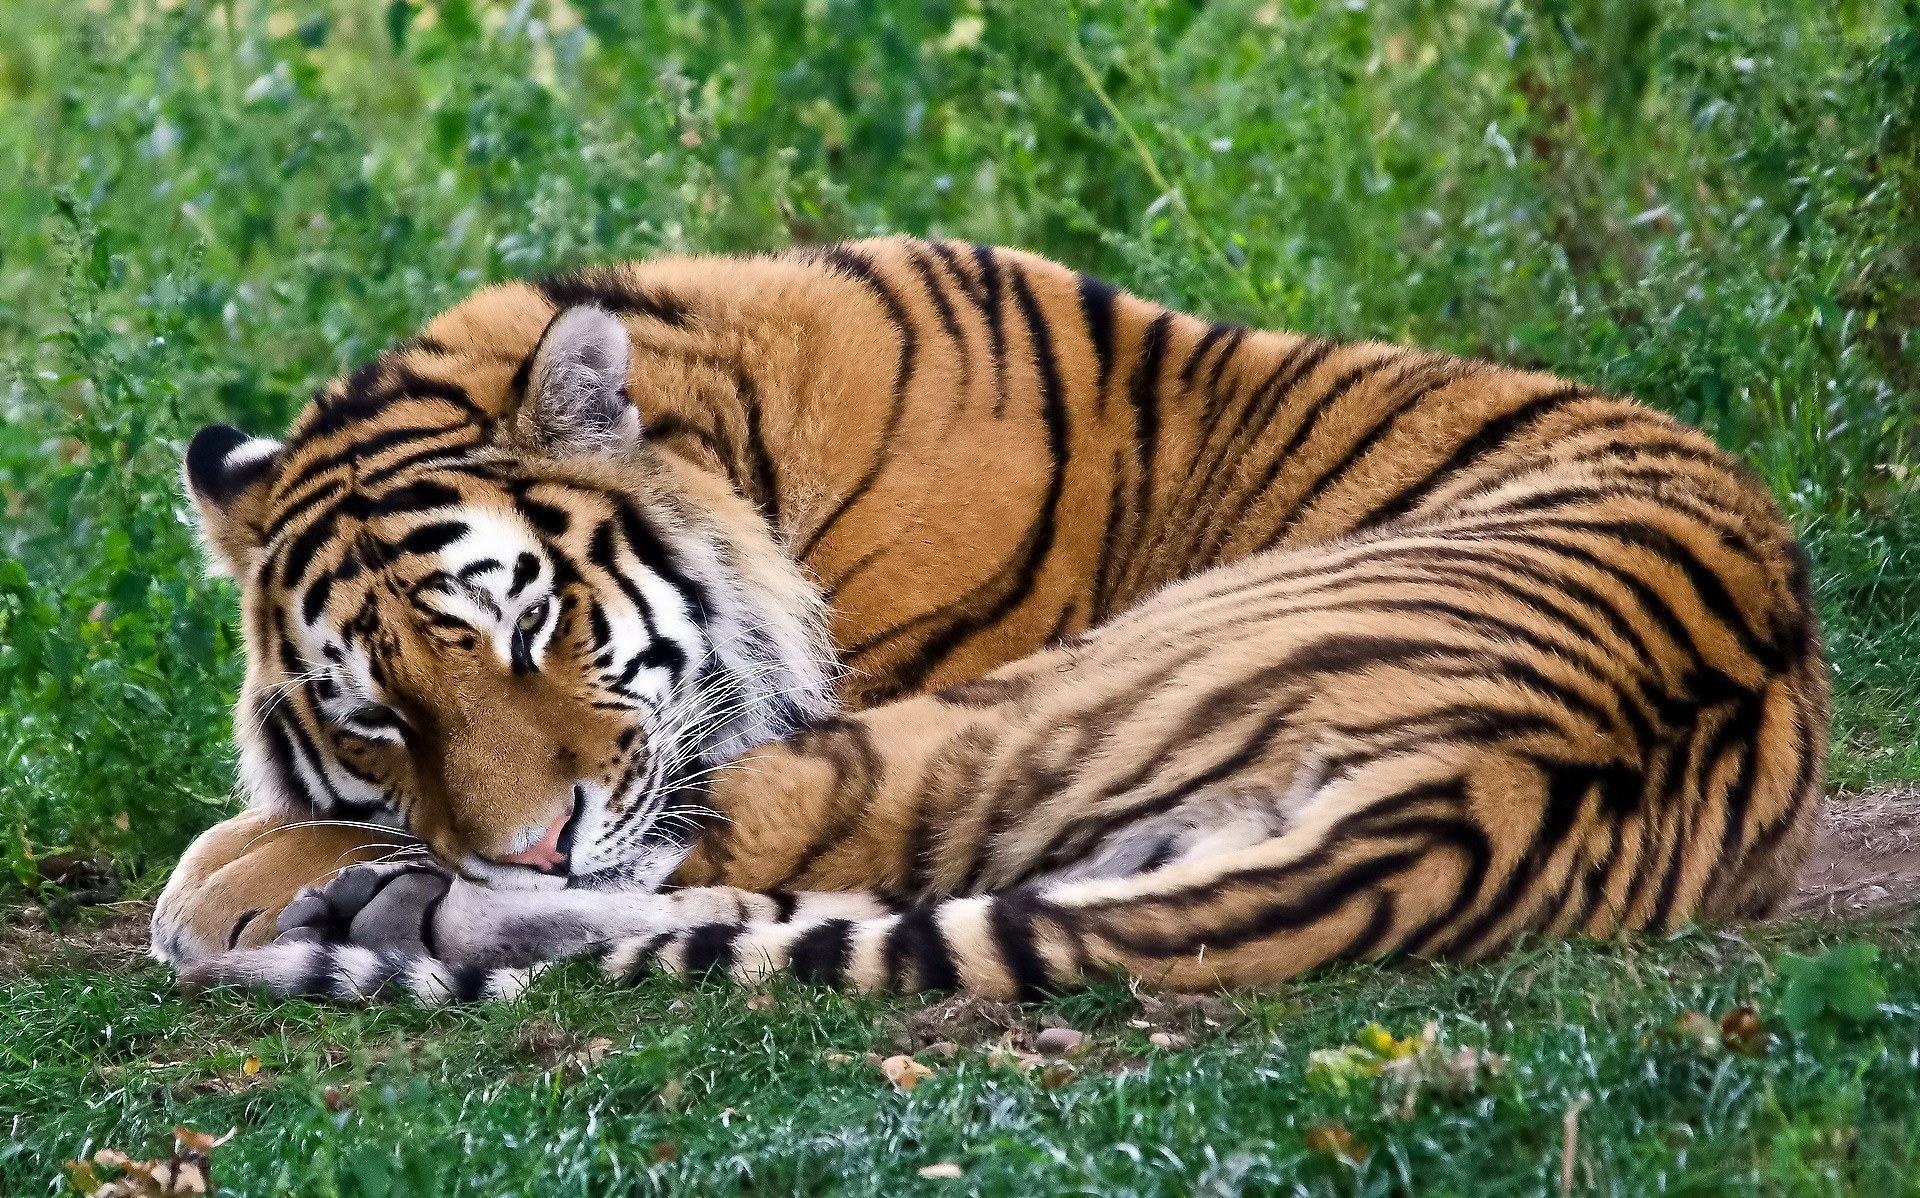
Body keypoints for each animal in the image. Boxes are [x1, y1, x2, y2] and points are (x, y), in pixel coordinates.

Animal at [152, 236, 1828, 1005]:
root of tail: (1481, 788)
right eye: (377, 711)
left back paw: (360, 907)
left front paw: (231, 886)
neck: (736, 442)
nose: (534, 840)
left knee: (717, 867)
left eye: (526, 628)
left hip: (1013, 703)